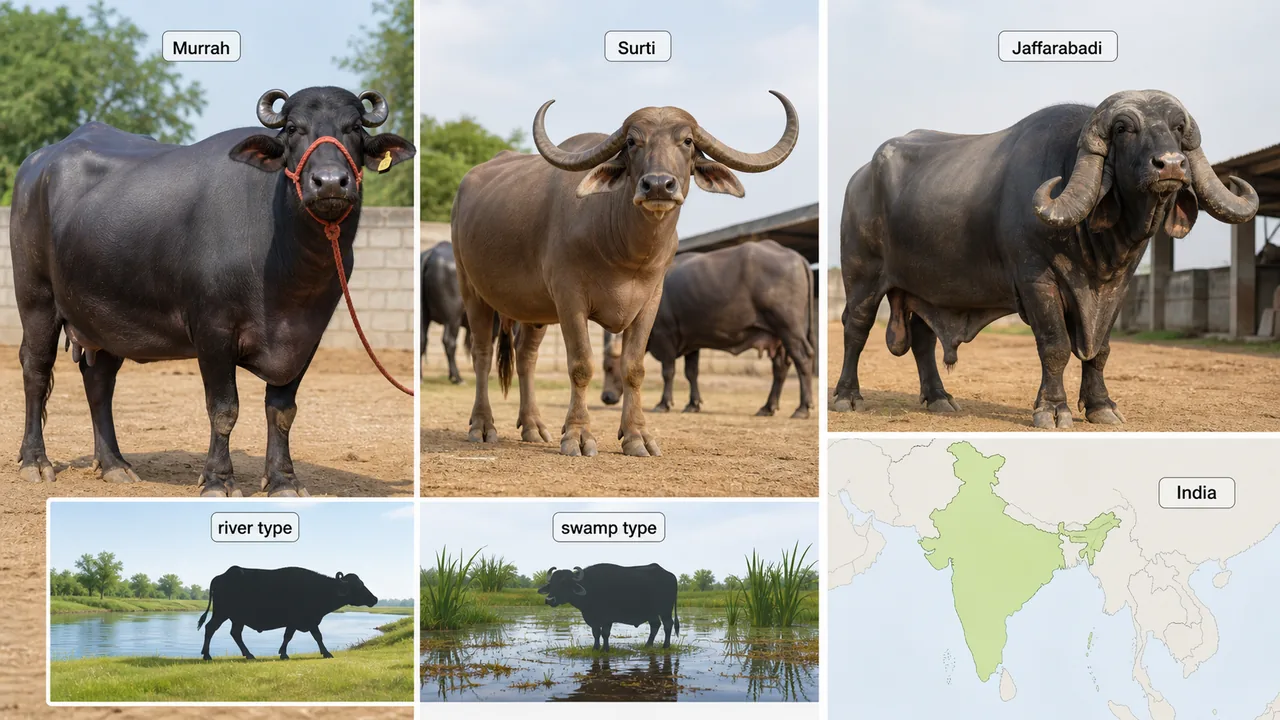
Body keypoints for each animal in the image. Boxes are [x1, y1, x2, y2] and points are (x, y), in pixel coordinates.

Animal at [10, 87, 415, 494]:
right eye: (293, 129)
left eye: (354, 128)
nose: (330, 182)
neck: (284, 266)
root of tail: (37, 165)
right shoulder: (213, 332)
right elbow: (224, 409)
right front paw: (219, 479)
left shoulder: (306, 336)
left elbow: (282, 411)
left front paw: (283, 479)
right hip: (36, 298)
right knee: (35, 369)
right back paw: (35, 461)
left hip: (105, 318)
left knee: (99, 381)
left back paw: (113, 464)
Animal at [197, 565, 378, 660]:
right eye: (358, 586)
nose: (375, 598)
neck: (318, 588)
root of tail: (222, 576)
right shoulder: (302, 620)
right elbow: (309, 636)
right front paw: (326, 653)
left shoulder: (303, 621)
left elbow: (297, 636)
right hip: (222, 614)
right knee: (210, 628)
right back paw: (207, 655)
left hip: (236, 619)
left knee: (235, 633)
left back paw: (248, 654)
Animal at [538, 563, 679, 652]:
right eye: (551, 583)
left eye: (564, 582)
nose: (549, 600)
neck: (591, 587)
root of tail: (671, 576)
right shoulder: (591, 618)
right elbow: (596, 633)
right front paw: (596, 648)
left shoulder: (608, 618)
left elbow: (605, 633)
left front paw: (605, 649)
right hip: (651, 612)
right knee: (655, 625)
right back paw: (648, 645)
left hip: (665, 610)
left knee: (668, 624)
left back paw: (665, 646)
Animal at [600, 240, 815, 418]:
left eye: (609, 367)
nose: (605, 397)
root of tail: (794, 255)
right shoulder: (691, 341)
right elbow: (691, 373)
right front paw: (693, 404)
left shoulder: (665, 337)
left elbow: (668, 372)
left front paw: (663, 403)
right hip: (777, 337)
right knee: (780, 368)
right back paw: (767, 407)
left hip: (789, 329)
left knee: (803, 359)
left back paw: (802, 408)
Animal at [833, 90, 1257, 428]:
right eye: (1124, 129)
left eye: (1178, 128)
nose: (1170, 164)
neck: (1096, 243)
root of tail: (859, 178)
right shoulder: (1037, 280)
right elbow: (1054, 346)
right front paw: (1052, 409)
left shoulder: (1117, 286)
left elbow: (1100, 349)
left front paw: (1101, 406)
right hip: (862, 276)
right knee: (856, 328)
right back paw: (847, 396)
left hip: (926, 287)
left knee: (923, 338)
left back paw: (939, 398)